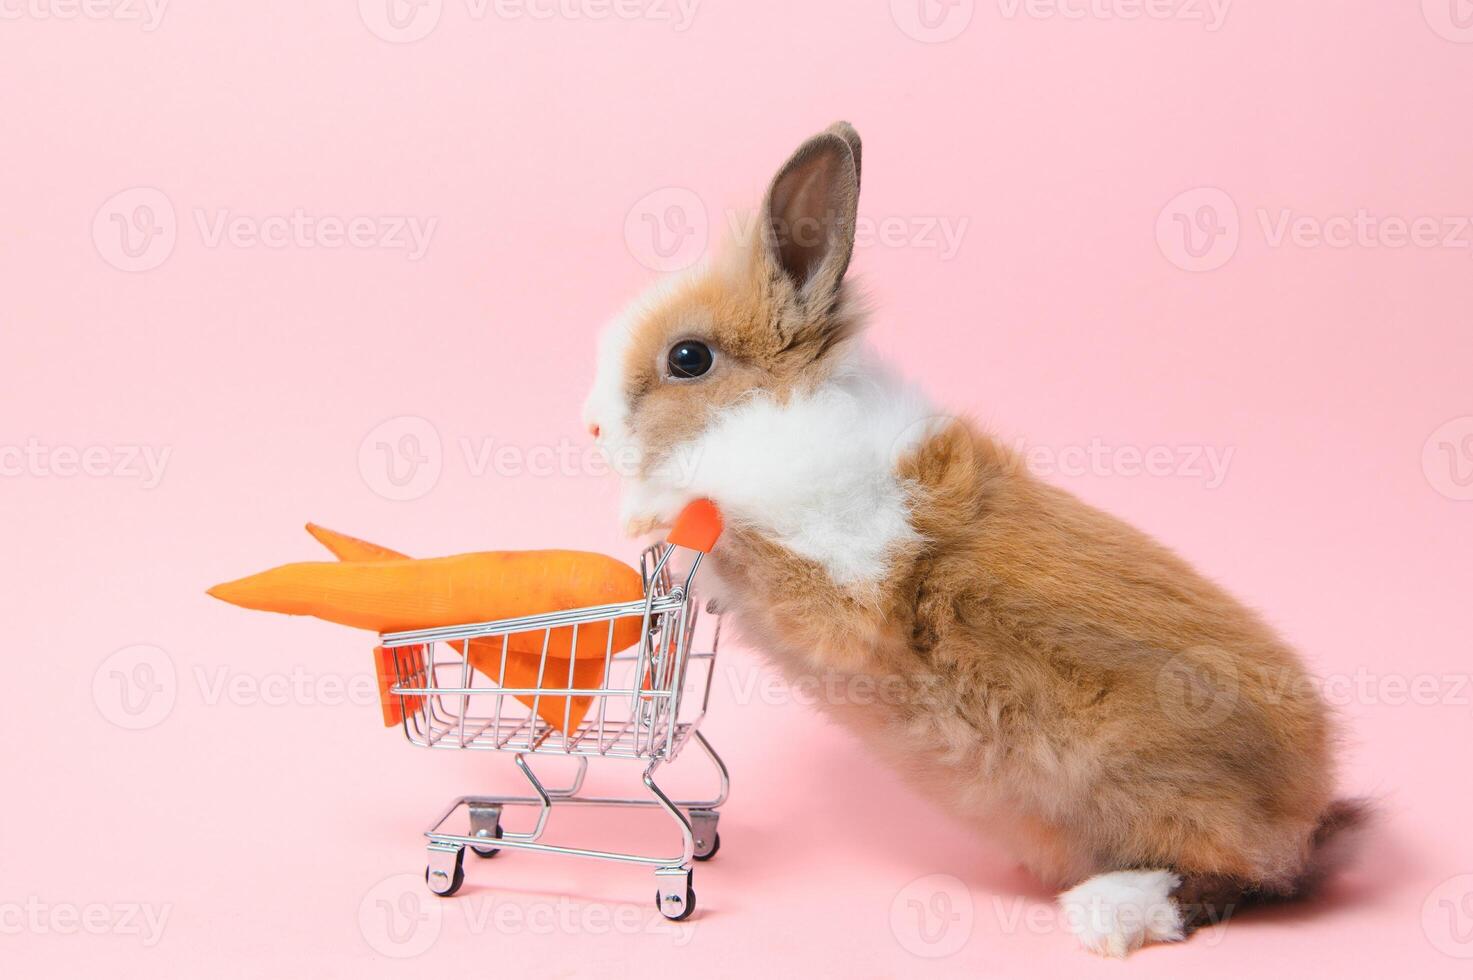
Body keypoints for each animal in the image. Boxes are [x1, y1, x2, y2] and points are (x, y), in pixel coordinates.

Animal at [580, 122, 1361, 954]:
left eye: (687, 358)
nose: (592, 428)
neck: (776, 416)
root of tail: (1308, 812)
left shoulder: (844, 592)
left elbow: (747, 542)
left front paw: (645, 508)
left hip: (1166, 794)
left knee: (1240, 882)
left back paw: (1109, 913)